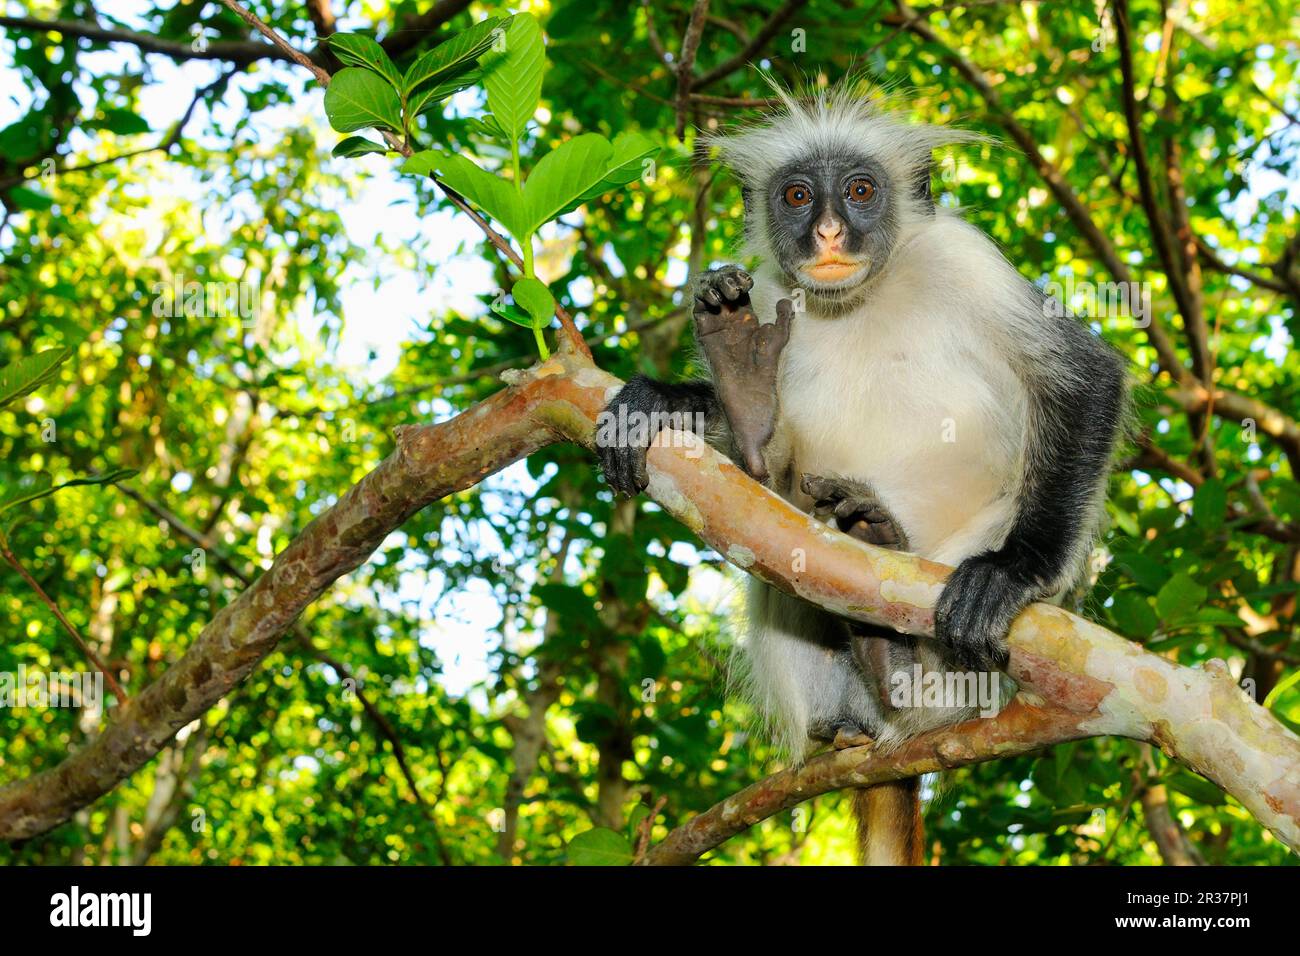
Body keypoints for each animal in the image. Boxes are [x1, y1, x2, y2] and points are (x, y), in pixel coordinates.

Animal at [592, 87, 1128, 868]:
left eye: (861, 191)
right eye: (796, 195)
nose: (828, 232)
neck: (859, 301)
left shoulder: (966, 262)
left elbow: (1088, 376)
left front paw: (1014, 571)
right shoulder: (776, 294)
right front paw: (662, 401)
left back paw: (902, 663)